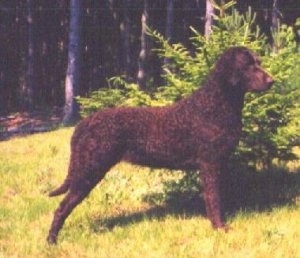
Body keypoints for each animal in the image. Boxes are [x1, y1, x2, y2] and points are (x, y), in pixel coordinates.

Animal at [47, 46, 274, 244]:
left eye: (259, 62)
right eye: (248, 65)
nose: (272, 81)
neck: (216, 103)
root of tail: (83, 123)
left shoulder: (221, 163)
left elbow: (220, 197)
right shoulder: (210, 164)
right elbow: (213, 199)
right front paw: (219, 228)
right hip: (89, 171)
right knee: (61, 208)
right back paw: (51, 241)